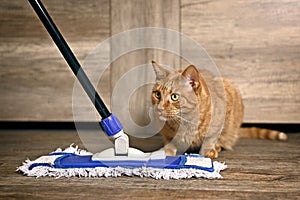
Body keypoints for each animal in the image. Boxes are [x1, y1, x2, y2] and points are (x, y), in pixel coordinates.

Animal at [151, 61, 288, 158]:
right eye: (157, 94)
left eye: (174, 96)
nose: (159, 108)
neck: (185, 122)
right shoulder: (166, 133)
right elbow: (170, 142)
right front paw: (166, 151)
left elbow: (212, 138)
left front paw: (209, 150)